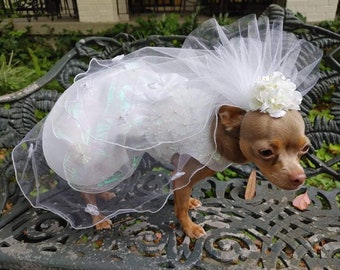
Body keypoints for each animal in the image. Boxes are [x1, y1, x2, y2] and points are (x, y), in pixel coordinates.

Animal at [83, 104, 310, 237]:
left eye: (305, 149)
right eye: (265, 152)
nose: (300, 177)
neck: (217, 135)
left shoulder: (185, 176)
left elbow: (184, 196)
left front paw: (191, 202)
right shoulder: (182, 175)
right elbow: (181, 207)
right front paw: (189, 228)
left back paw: (104, 194)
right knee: (85, 190)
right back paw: (97, 218)